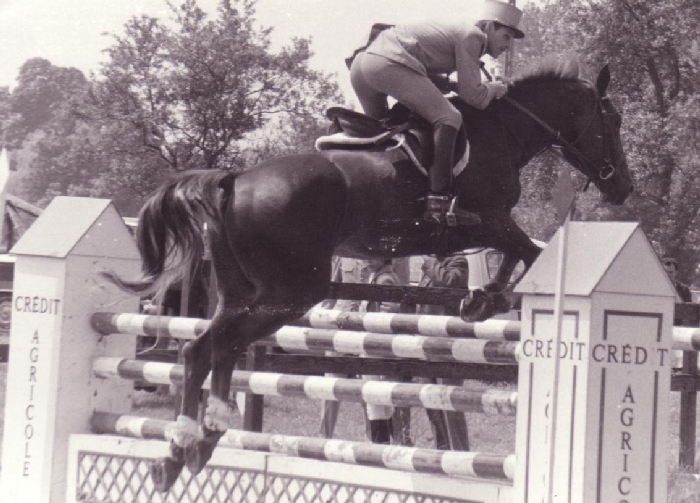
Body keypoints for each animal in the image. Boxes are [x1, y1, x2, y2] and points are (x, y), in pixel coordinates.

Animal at [106, 56, 633, 491]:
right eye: (614, 120)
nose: (622, 188)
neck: (501, 129)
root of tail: (232, 182)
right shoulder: (487, 220)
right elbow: (524, 251)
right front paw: (488, 298)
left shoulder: (483, 229)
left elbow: (518, 253)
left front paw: (480, 297)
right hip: (292, 291)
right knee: (217, 346)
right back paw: (200, 438)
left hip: (243, 293)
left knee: (206, 348)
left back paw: (182, 451)